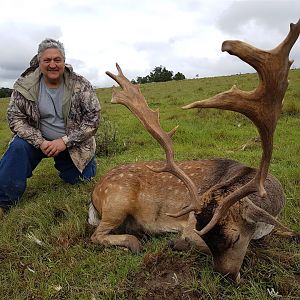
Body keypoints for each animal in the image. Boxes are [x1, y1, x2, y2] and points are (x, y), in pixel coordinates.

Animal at [89, 19, 300, 282]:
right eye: (207, 239)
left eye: (235, 237)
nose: (226, 277)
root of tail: (95, 191)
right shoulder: (189, 224)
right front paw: (176, 243)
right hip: (117, 201)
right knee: (95, 235)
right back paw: (134, 242)